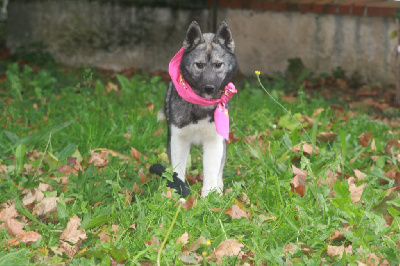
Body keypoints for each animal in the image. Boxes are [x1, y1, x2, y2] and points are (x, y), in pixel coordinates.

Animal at [151, 21, 238, 197]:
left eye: (218, 65)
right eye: (199, 65)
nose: (209, 88)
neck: (201, 105)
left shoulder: (214, 141)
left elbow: (212, 171)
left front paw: (210, 196)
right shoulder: (178, 139)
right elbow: (177, 170)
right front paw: (179, 193)